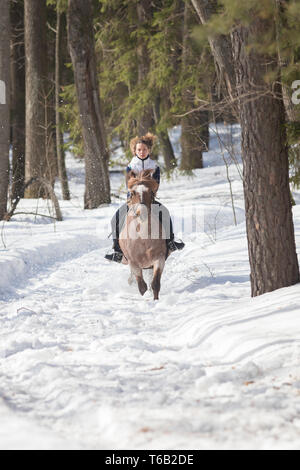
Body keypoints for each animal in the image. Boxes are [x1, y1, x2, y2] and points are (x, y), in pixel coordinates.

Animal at [119, 170, 166, 302]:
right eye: (132, 193)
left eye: (151, 192)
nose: (142, 212)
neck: (142, 237)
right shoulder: (134, 263)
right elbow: (142, 287)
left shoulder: (159, 258)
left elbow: (155, 284)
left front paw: (155, 301)